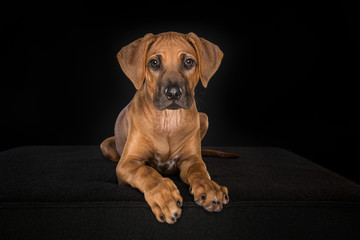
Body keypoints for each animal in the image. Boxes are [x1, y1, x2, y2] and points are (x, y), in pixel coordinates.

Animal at [100, 31, 236, 223]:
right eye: (154, 63)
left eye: (189, 62)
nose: (173, 93)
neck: (168, 121)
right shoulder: (127, 163)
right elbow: (146, 171)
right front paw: (164, 196)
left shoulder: (191, 159)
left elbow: (199, 171)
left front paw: (209, 188)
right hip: (106, 145)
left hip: (204, 118)